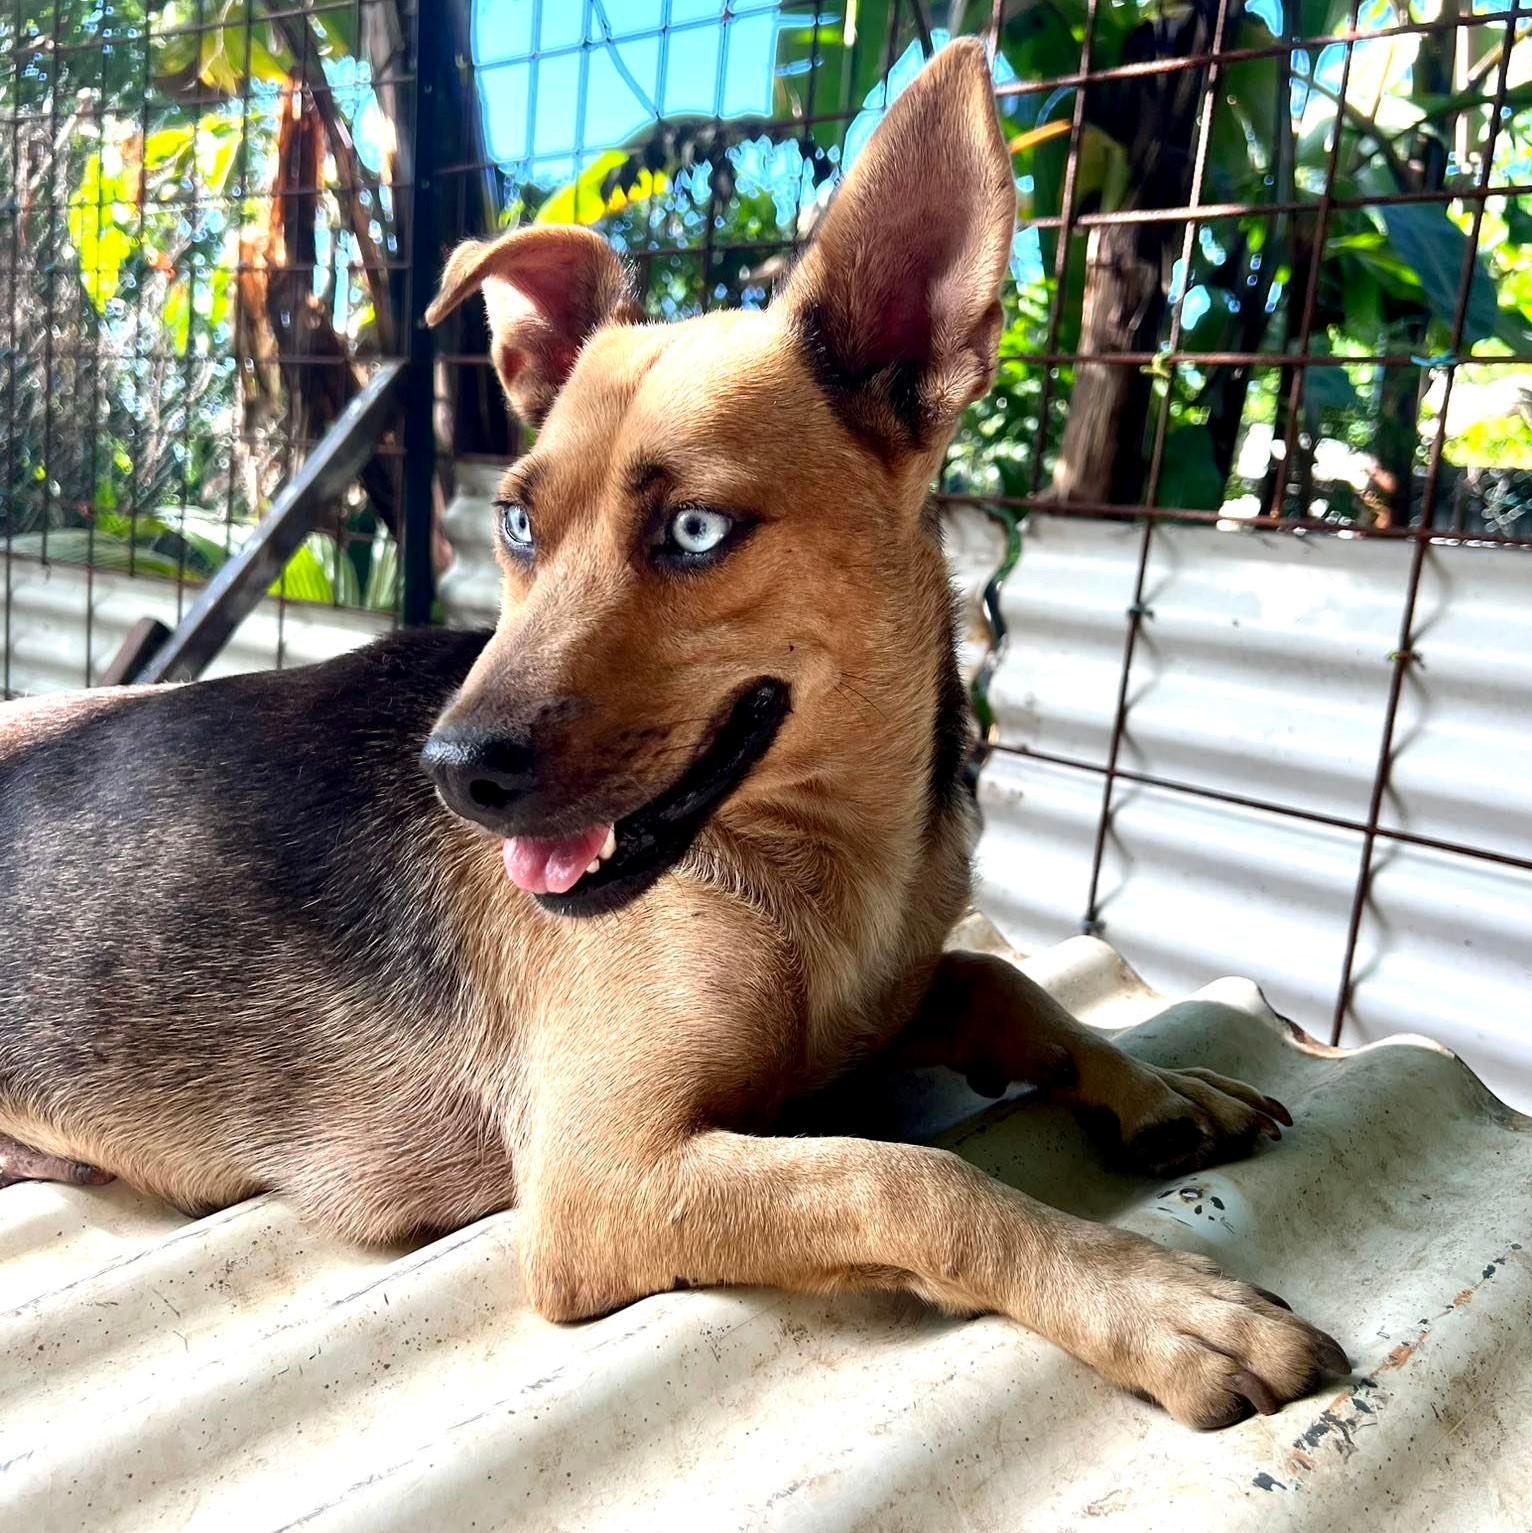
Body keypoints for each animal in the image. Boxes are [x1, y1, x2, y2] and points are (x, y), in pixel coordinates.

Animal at [0, 41, 1343, 1428]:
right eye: (517, 525)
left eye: (694, 532)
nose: (448, 774)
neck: (820, 857)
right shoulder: (605, 1183)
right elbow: (905, 1175)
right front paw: (1154, 1301)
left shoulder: (860, 1014)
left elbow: (996, 980)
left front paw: (1153, 1084)